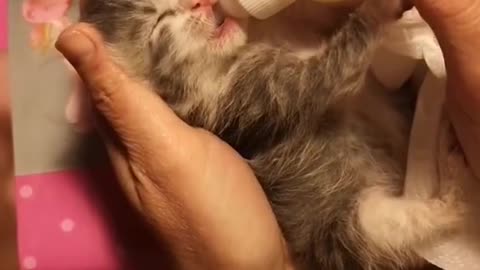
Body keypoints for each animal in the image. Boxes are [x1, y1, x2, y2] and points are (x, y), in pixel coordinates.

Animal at [81, 1, 464, 268]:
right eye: (160, 24)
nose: (201, 4)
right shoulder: (260, 96)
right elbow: (333, 67)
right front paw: (376, 12)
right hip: (349, 231)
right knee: (409, 225)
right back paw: (451, 180)